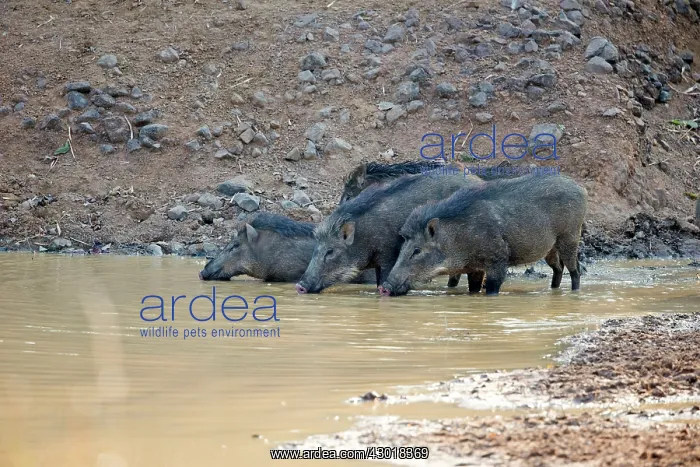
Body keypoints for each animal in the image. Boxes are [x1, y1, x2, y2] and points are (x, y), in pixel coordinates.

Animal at [379, 174, 587, 296]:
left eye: (417, 250)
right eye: (402, 248)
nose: (384, 287)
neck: (457, 238)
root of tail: (581, 189)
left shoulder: (498, 259)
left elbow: (492, 288)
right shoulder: (475, 268)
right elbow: (473, 288)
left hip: (569, 237)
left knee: (575, 269)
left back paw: (574, 293)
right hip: (550, 248)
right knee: (558, 268)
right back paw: (554, 290)